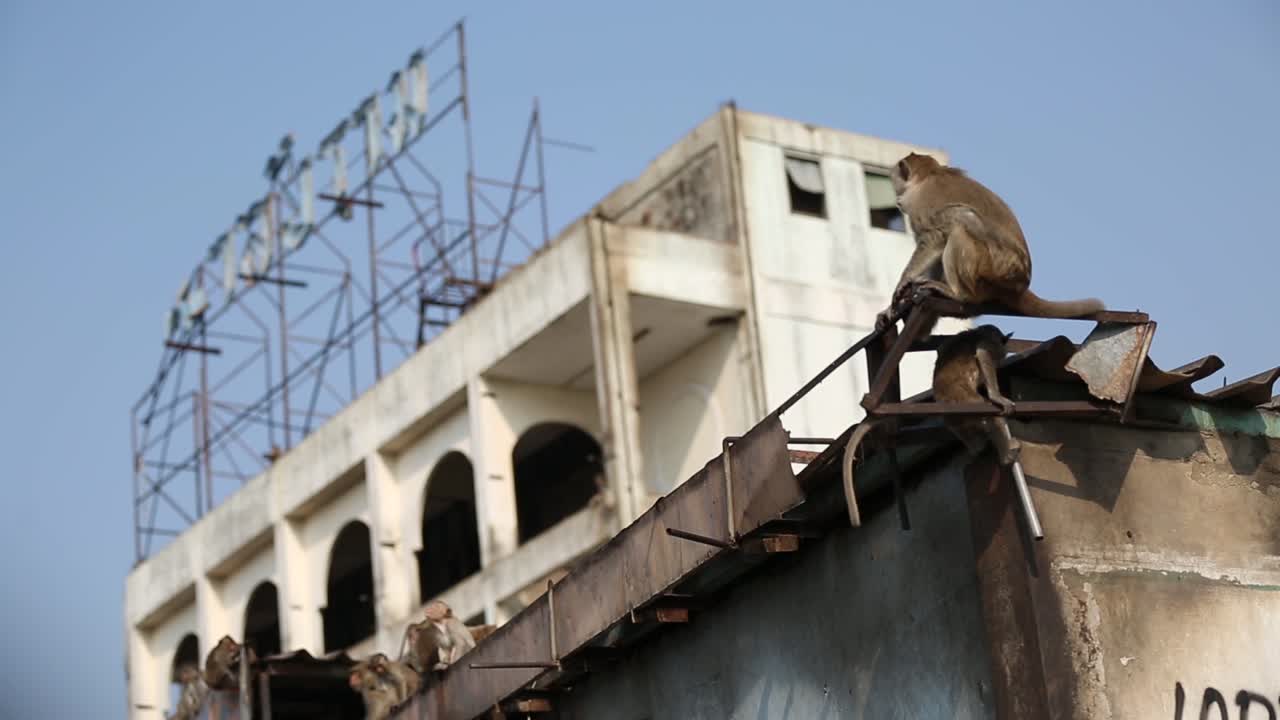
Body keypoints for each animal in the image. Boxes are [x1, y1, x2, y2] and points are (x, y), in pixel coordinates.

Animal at [841, 324, 1019, 527]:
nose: (1003, 357)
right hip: (967, 403)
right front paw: (997, 396)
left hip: (955, 419)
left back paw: (977, 448)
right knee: (993, 417)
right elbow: (983, 355)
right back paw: (1006, 456)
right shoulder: (990, 342)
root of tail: (946, 403)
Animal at [875, 153, 1103, 331]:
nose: (895, 195)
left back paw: (959, 295)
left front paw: (903, 283)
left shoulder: (919, 207)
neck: (930, 175)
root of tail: (1021, 287)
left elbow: (934, 239)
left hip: (994, 271)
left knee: (960, 221)